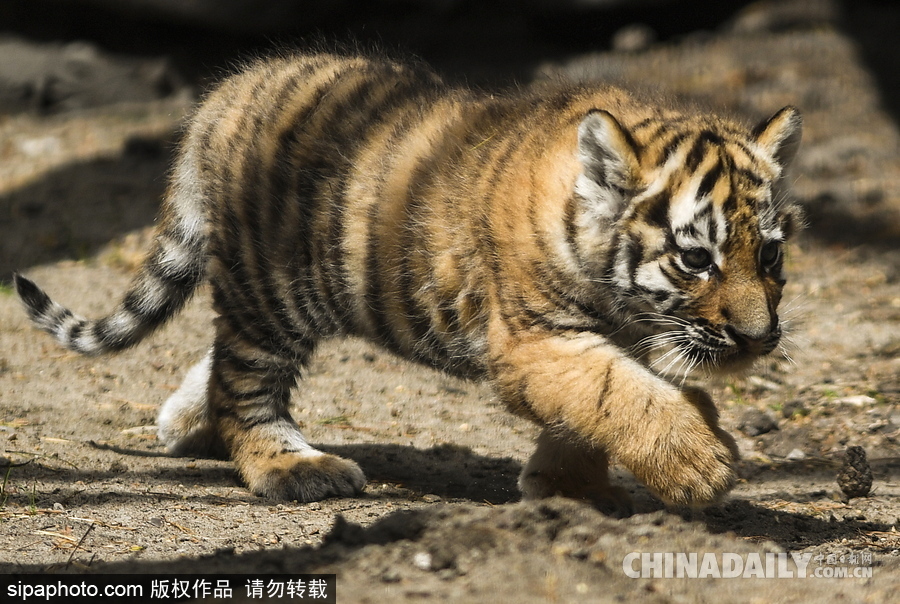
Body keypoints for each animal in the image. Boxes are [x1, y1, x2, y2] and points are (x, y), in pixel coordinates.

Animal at [14, 50, 802, 510]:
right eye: (695, 259)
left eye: (769, 257)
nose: (760, 339)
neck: (625, 304)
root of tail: (228, 89)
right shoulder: (532, 341)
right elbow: (619, 393)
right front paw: (701, 463)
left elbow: (605, 401)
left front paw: (567, 485)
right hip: (274, 292)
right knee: (245, 386)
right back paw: (291, 467)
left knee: (220, 359)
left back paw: (185, 423)